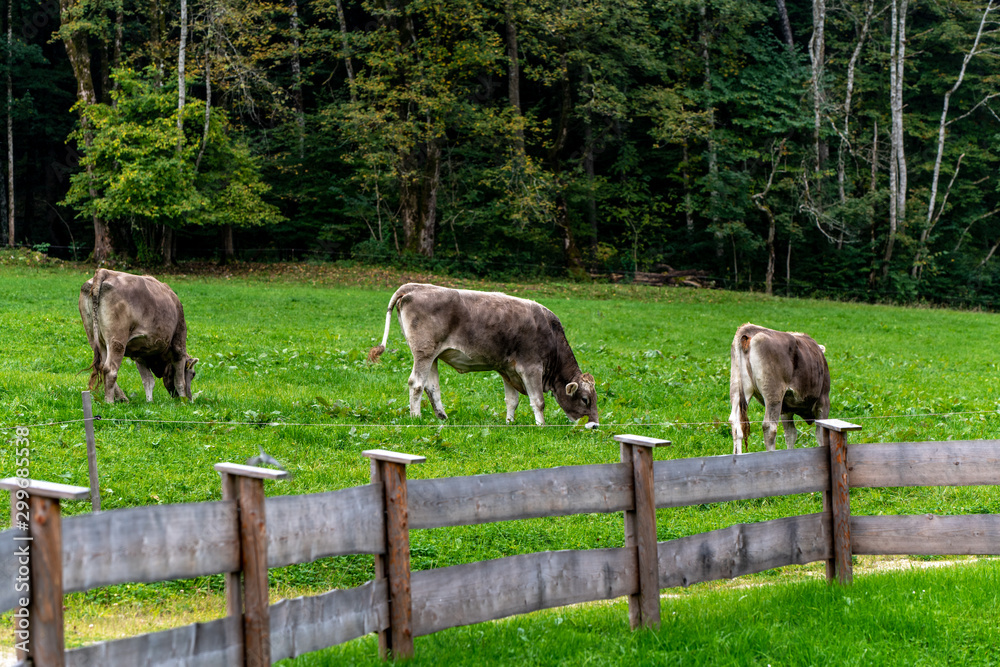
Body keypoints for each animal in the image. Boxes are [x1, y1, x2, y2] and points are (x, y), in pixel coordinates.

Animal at [79, 269, 198, 403]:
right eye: (193, 374)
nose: (190, 399)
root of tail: (105, 271)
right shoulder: (179, 347)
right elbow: (180, 381)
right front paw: (183, 402)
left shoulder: (140, 355)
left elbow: (148, 381)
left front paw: (149, 402)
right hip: (117, 340)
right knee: (109, 370)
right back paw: (109, 402)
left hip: (95, 338)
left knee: (102, 365)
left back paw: (122, 398)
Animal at [367, 283, 599, 427]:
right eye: (585, 399)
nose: (595, 425)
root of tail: (415, 286)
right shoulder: (531, 367)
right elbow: (538, 401)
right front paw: (541, 425)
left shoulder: (508, 370)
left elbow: (512, 400)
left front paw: (510, 423)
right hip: (423, 352)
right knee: (416, 383)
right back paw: (416, 418)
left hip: (432, 356)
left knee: (431, 387)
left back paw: (442, 417)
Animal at [728, 323, 830, 454]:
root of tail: (750, 329)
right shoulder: (823, 401)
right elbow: (820, 434)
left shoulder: (786, 409)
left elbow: (791, 435)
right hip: (773, 394)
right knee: (769, 427)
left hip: (738, 389)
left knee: (736, 424)